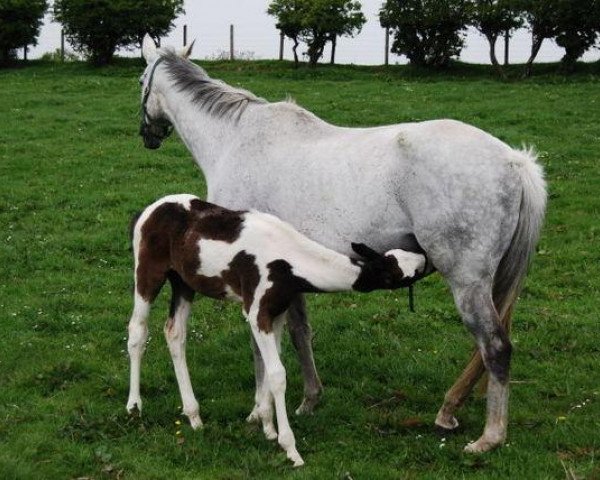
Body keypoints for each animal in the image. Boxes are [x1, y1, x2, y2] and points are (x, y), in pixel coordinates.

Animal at [126, 194, 426, 464]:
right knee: (137, 332)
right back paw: (134, 406)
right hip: (148, 273)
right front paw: (290, 448)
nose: (423, 257)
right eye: (400, 273)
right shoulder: (256, 311)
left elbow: (271, 366)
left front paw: (267, 427)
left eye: (403, 256)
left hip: (184, 282)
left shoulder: (277, 312)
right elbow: (277, 373)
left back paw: (194, 416)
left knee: (174, 332)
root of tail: (146, 211)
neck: (289, 263)